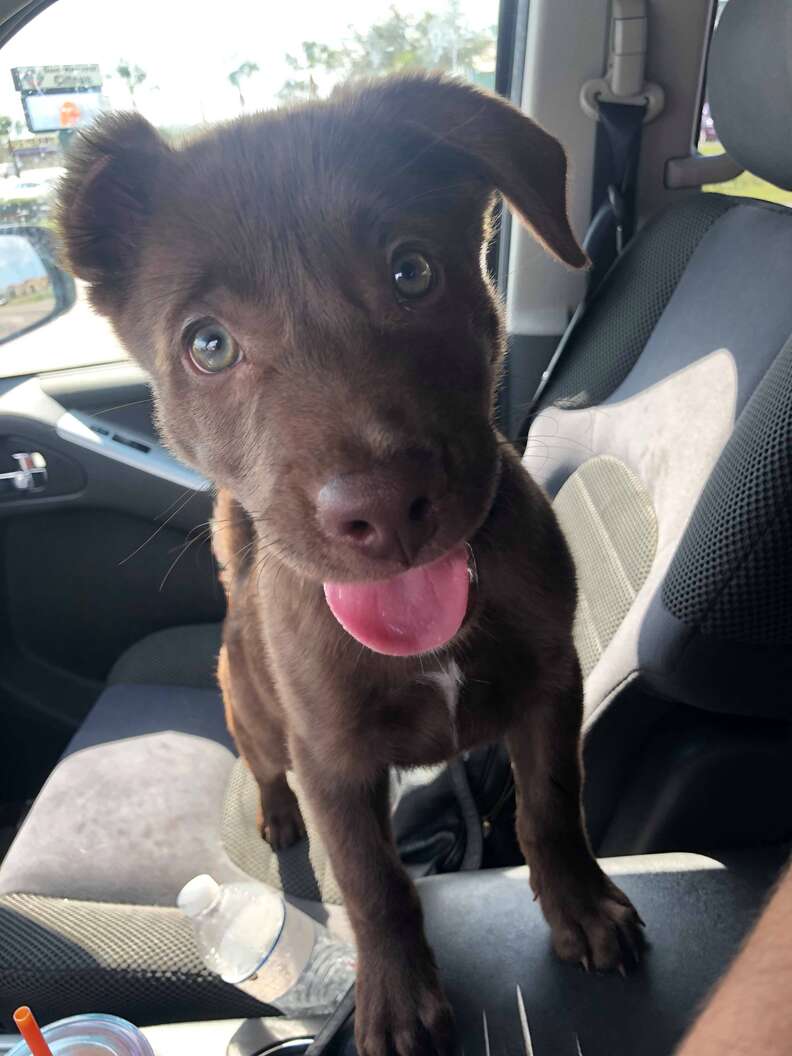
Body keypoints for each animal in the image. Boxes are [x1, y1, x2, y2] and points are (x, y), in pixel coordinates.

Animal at [60, 74, 646, 1056]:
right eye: (208, 344)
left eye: (413, 272)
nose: (382, 509)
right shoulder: (330, 757)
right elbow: (372, 881)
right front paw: (398, 998)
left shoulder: (550, 683)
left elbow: (551, 803)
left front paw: (581, 906)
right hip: (251, 707)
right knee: (264, 766)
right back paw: (273, 814)